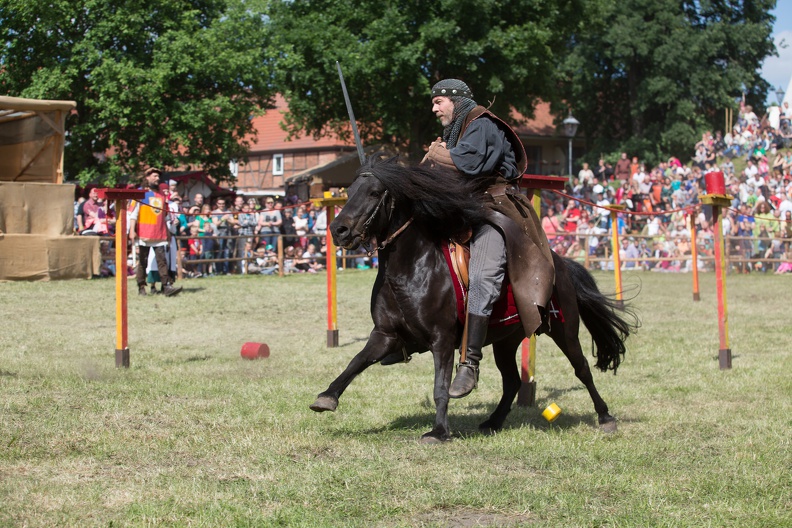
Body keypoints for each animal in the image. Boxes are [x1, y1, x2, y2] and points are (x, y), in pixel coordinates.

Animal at [310, 157, 636, 442]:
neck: (412, 270)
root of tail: (560, 264)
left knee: (581, 369)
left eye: (375, 192)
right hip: (506, 341)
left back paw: (605, 417)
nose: (338, 230)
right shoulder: (385, 335)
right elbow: (355, 362)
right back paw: (493, 421)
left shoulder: (442, 340)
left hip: (564, 330)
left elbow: (440, 387)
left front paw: (439, 432)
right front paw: (326, 398)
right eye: (349, 191)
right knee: (512, 381)